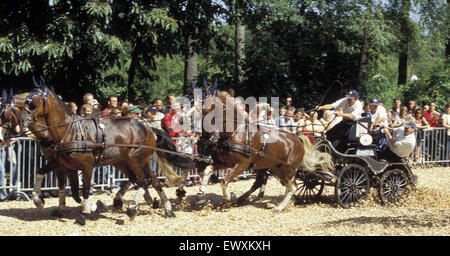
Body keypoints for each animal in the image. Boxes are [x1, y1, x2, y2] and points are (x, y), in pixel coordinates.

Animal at [20, 81, 195, 221]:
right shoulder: (65, 165)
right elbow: (67, 187)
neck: (69, 131)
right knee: (150, 181)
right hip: (127, 161)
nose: (23, 122)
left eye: (33, 102)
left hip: (134, 158)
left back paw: (132, 207)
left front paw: (85, 212)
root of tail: (148, 128)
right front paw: (39, 200)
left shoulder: (86, 165)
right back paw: (165, 208)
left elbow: (84, 189)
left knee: (143, 180)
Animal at [200, 91, 334, 211]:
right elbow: (207, 170)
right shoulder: (224, 162)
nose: (203, 140)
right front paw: (201, 192)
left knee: (292, 186)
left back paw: (280, 207)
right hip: (275, 167)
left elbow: (224, 181)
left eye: (209, 113)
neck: (235, 133)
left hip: (289, 167)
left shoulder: (243, 164)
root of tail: (298, 139)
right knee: (280, 183)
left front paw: (231, 196)